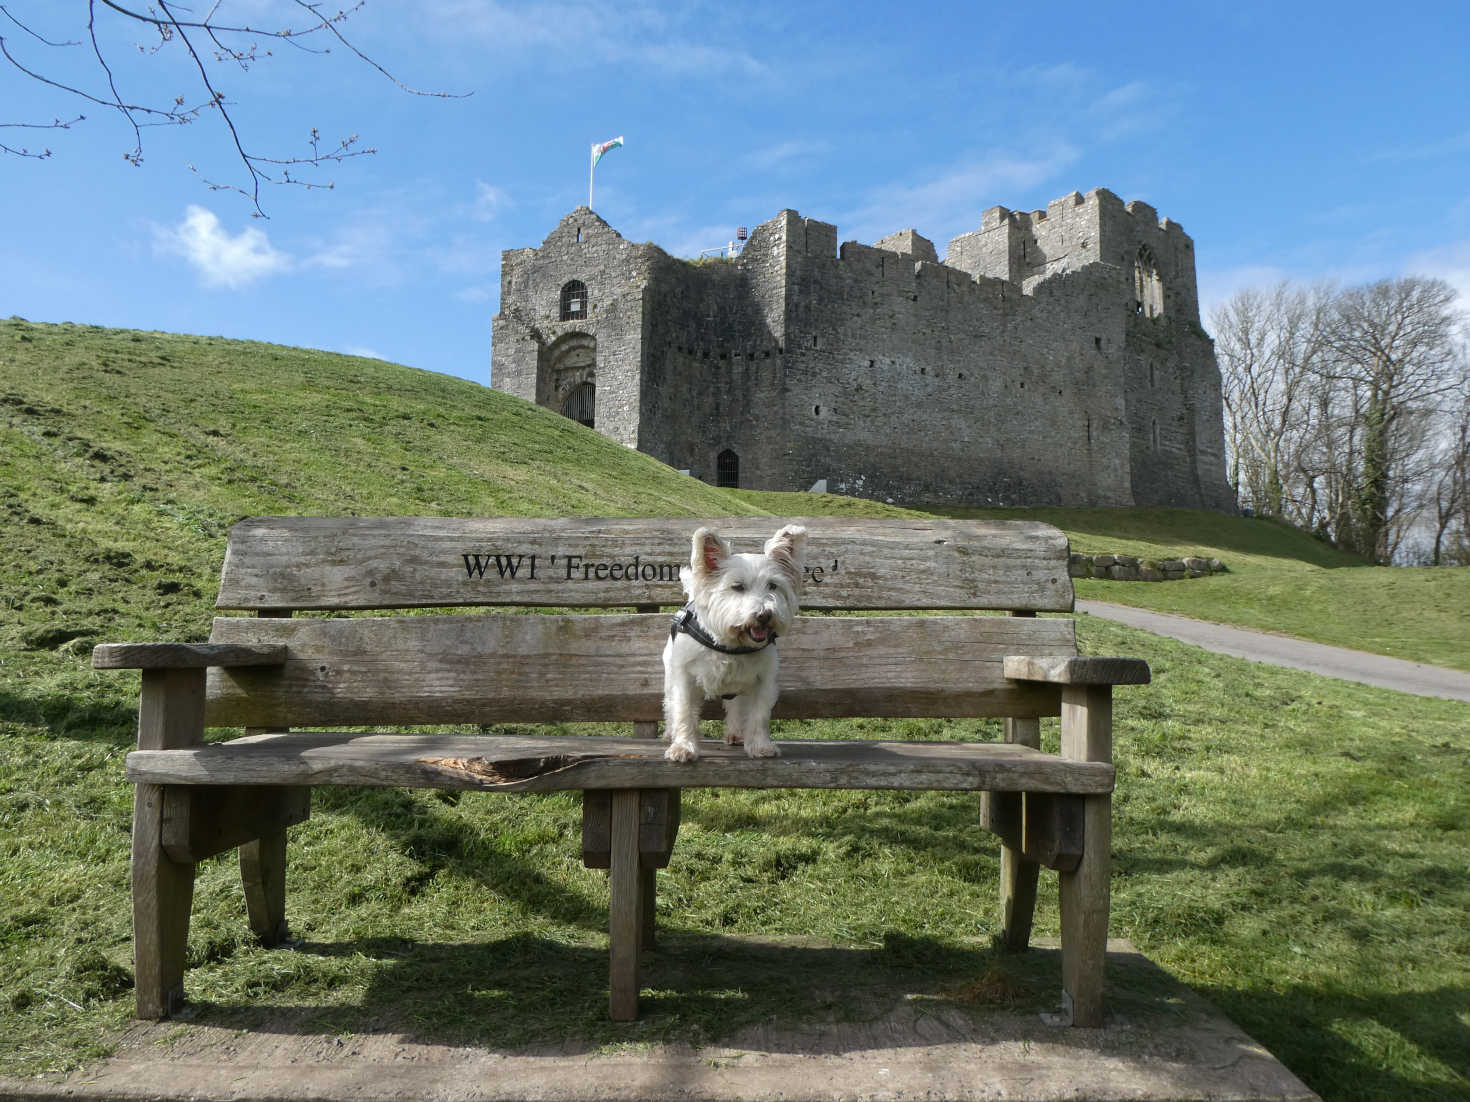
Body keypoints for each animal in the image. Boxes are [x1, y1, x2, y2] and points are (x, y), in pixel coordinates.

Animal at [664, 523, 811, 764]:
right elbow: (684, 711)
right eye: (738, 586)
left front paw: (761, 746)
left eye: (773, 585)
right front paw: (683, 747)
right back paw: (669, 732)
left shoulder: (762, 680)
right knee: (670, 703)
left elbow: (759, 714)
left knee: (736, 708)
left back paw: (736, 734)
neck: (731, 645)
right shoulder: (685, 677)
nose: (764, 615)